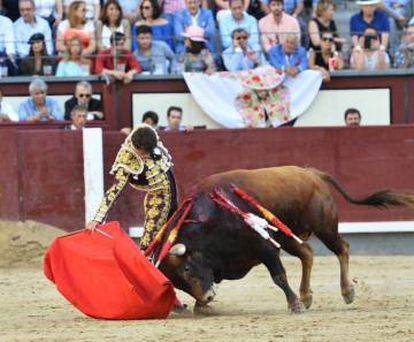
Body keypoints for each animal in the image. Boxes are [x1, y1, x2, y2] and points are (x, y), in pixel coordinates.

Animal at [157, 167, 412, 314]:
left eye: (187, 269)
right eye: (177, 282)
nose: (208, 296)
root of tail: (313, 174)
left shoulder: (266, 247)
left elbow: (278, 276)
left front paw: (293, 304)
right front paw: (201, 305)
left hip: (324, 227)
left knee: (342, 248)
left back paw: (346, 291)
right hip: (288, 235)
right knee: (307, 253)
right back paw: (307, 295)